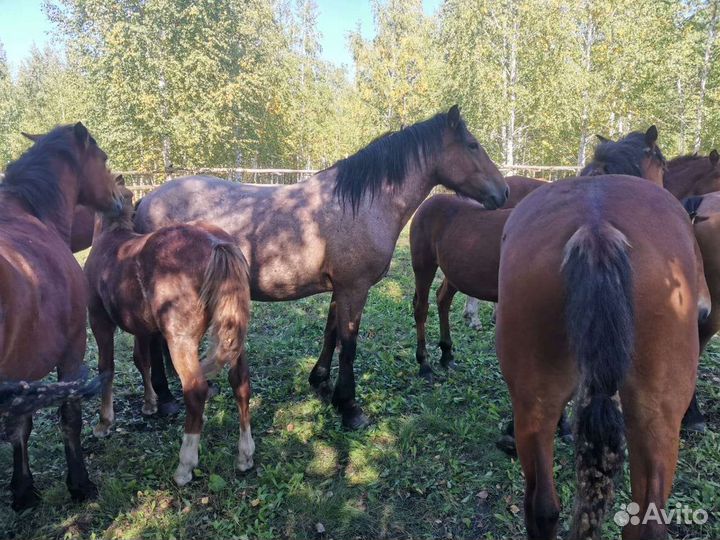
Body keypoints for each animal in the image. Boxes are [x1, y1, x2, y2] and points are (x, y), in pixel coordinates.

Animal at [0, 123, 121, 510]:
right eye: (103, 158)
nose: (117, 197)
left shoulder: (22, 366)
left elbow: (21, 426)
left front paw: (23, 490)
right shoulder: (72, 349)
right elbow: (69, 418)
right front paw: (80, 485)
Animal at [85, 179, 253, 486]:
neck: (111, 238)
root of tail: (218, 244)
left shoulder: (99, 319)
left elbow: (107, 367)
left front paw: (104, 423)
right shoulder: (142, 327)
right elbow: (142, 360)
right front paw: (150, 404)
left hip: (181, 341)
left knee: (195, 392)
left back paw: (184, 467)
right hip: (234, 335)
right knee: (241, 383)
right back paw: (245, 457)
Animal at [134, 105, 509, 429]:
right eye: (473, 145)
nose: (503, 192)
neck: (361, 204)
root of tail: (146, 199)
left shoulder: (339, 288)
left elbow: (331, 334)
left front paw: (322, 382)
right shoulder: (355, 289)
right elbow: (349, 344)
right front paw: (350, 407)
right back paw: (166, 399)